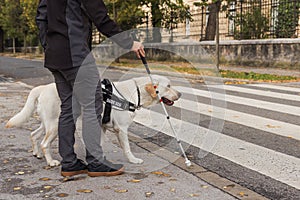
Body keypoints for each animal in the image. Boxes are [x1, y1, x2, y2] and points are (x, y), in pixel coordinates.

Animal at [5, 75, 180, 166]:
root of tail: (41, 88)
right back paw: (51, 161)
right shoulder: (121, 129)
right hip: (54, 125)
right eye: (169, 86)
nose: (180, 94)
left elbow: (99, 144)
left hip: (46, 123)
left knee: (34, 135)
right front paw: (133, 160)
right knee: (44, 143)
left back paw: (37, 154)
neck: (136, 91)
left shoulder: (102, 125)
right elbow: (127, 148)